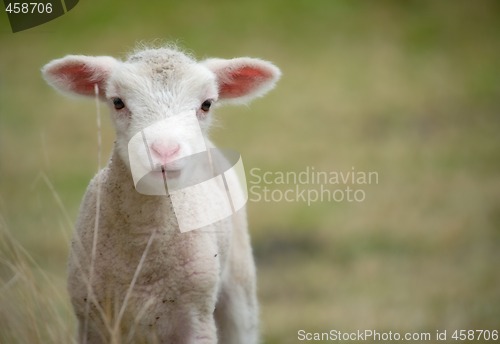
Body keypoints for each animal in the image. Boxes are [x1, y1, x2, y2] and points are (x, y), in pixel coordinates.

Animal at [42, 46, 282, 344]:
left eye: (206, 104)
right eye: (117, 102)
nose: (165, 152)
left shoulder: (197, 318)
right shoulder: (92, 318)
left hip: (239, 285)